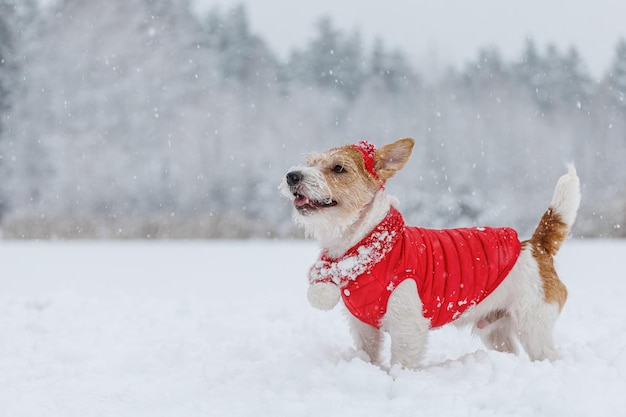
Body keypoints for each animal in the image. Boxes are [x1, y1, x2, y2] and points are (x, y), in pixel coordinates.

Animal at [280, 136, 580, 368]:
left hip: (533, 326)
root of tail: (535, 245)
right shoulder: (364, 327)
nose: (292, 175)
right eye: (310, 162)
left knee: (549, 354)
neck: (362, 247)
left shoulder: (407, 325)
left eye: (338, 168)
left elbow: (402, 362)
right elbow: (369, 354)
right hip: (496, 330)